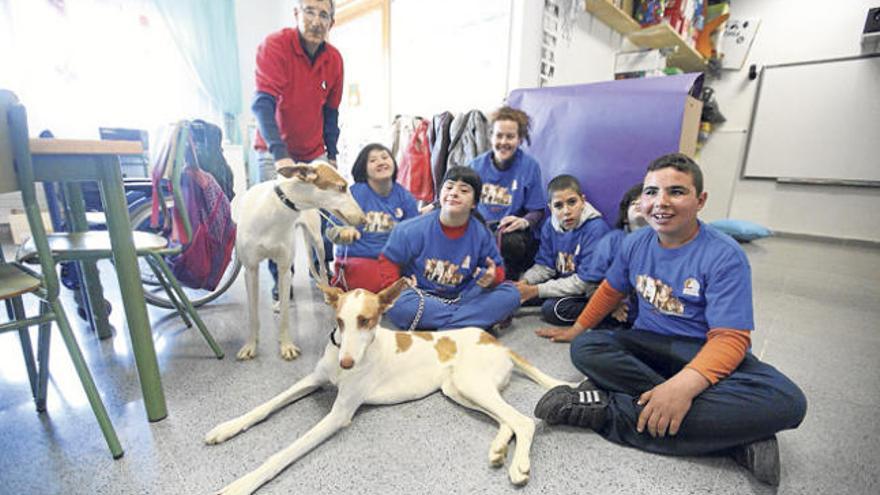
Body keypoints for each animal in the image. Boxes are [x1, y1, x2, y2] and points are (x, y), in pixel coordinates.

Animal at [206, 280, 576, 495]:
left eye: (366, 321)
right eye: (339, 321)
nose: (347, 364)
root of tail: (494, 340)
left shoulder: (339, 414)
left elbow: (282, 454)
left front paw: (241, 484)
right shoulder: (312, 379)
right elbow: (265, 406)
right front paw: (227, 427)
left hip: (470, 384)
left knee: (522, 421)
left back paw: (519, 466)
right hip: (458, 389)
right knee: (506, 420)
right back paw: (499, 450)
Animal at [232, 163, 366, 360]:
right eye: (342, 187)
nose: (364, 219)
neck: (277, 209)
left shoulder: (285, 268)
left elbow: (286, 317)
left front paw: (286, 345)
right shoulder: (251, 270)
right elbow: (253, 315)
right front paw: (250, 345)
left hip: (317, 241)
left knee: (322, 270)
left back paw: (326, 293)